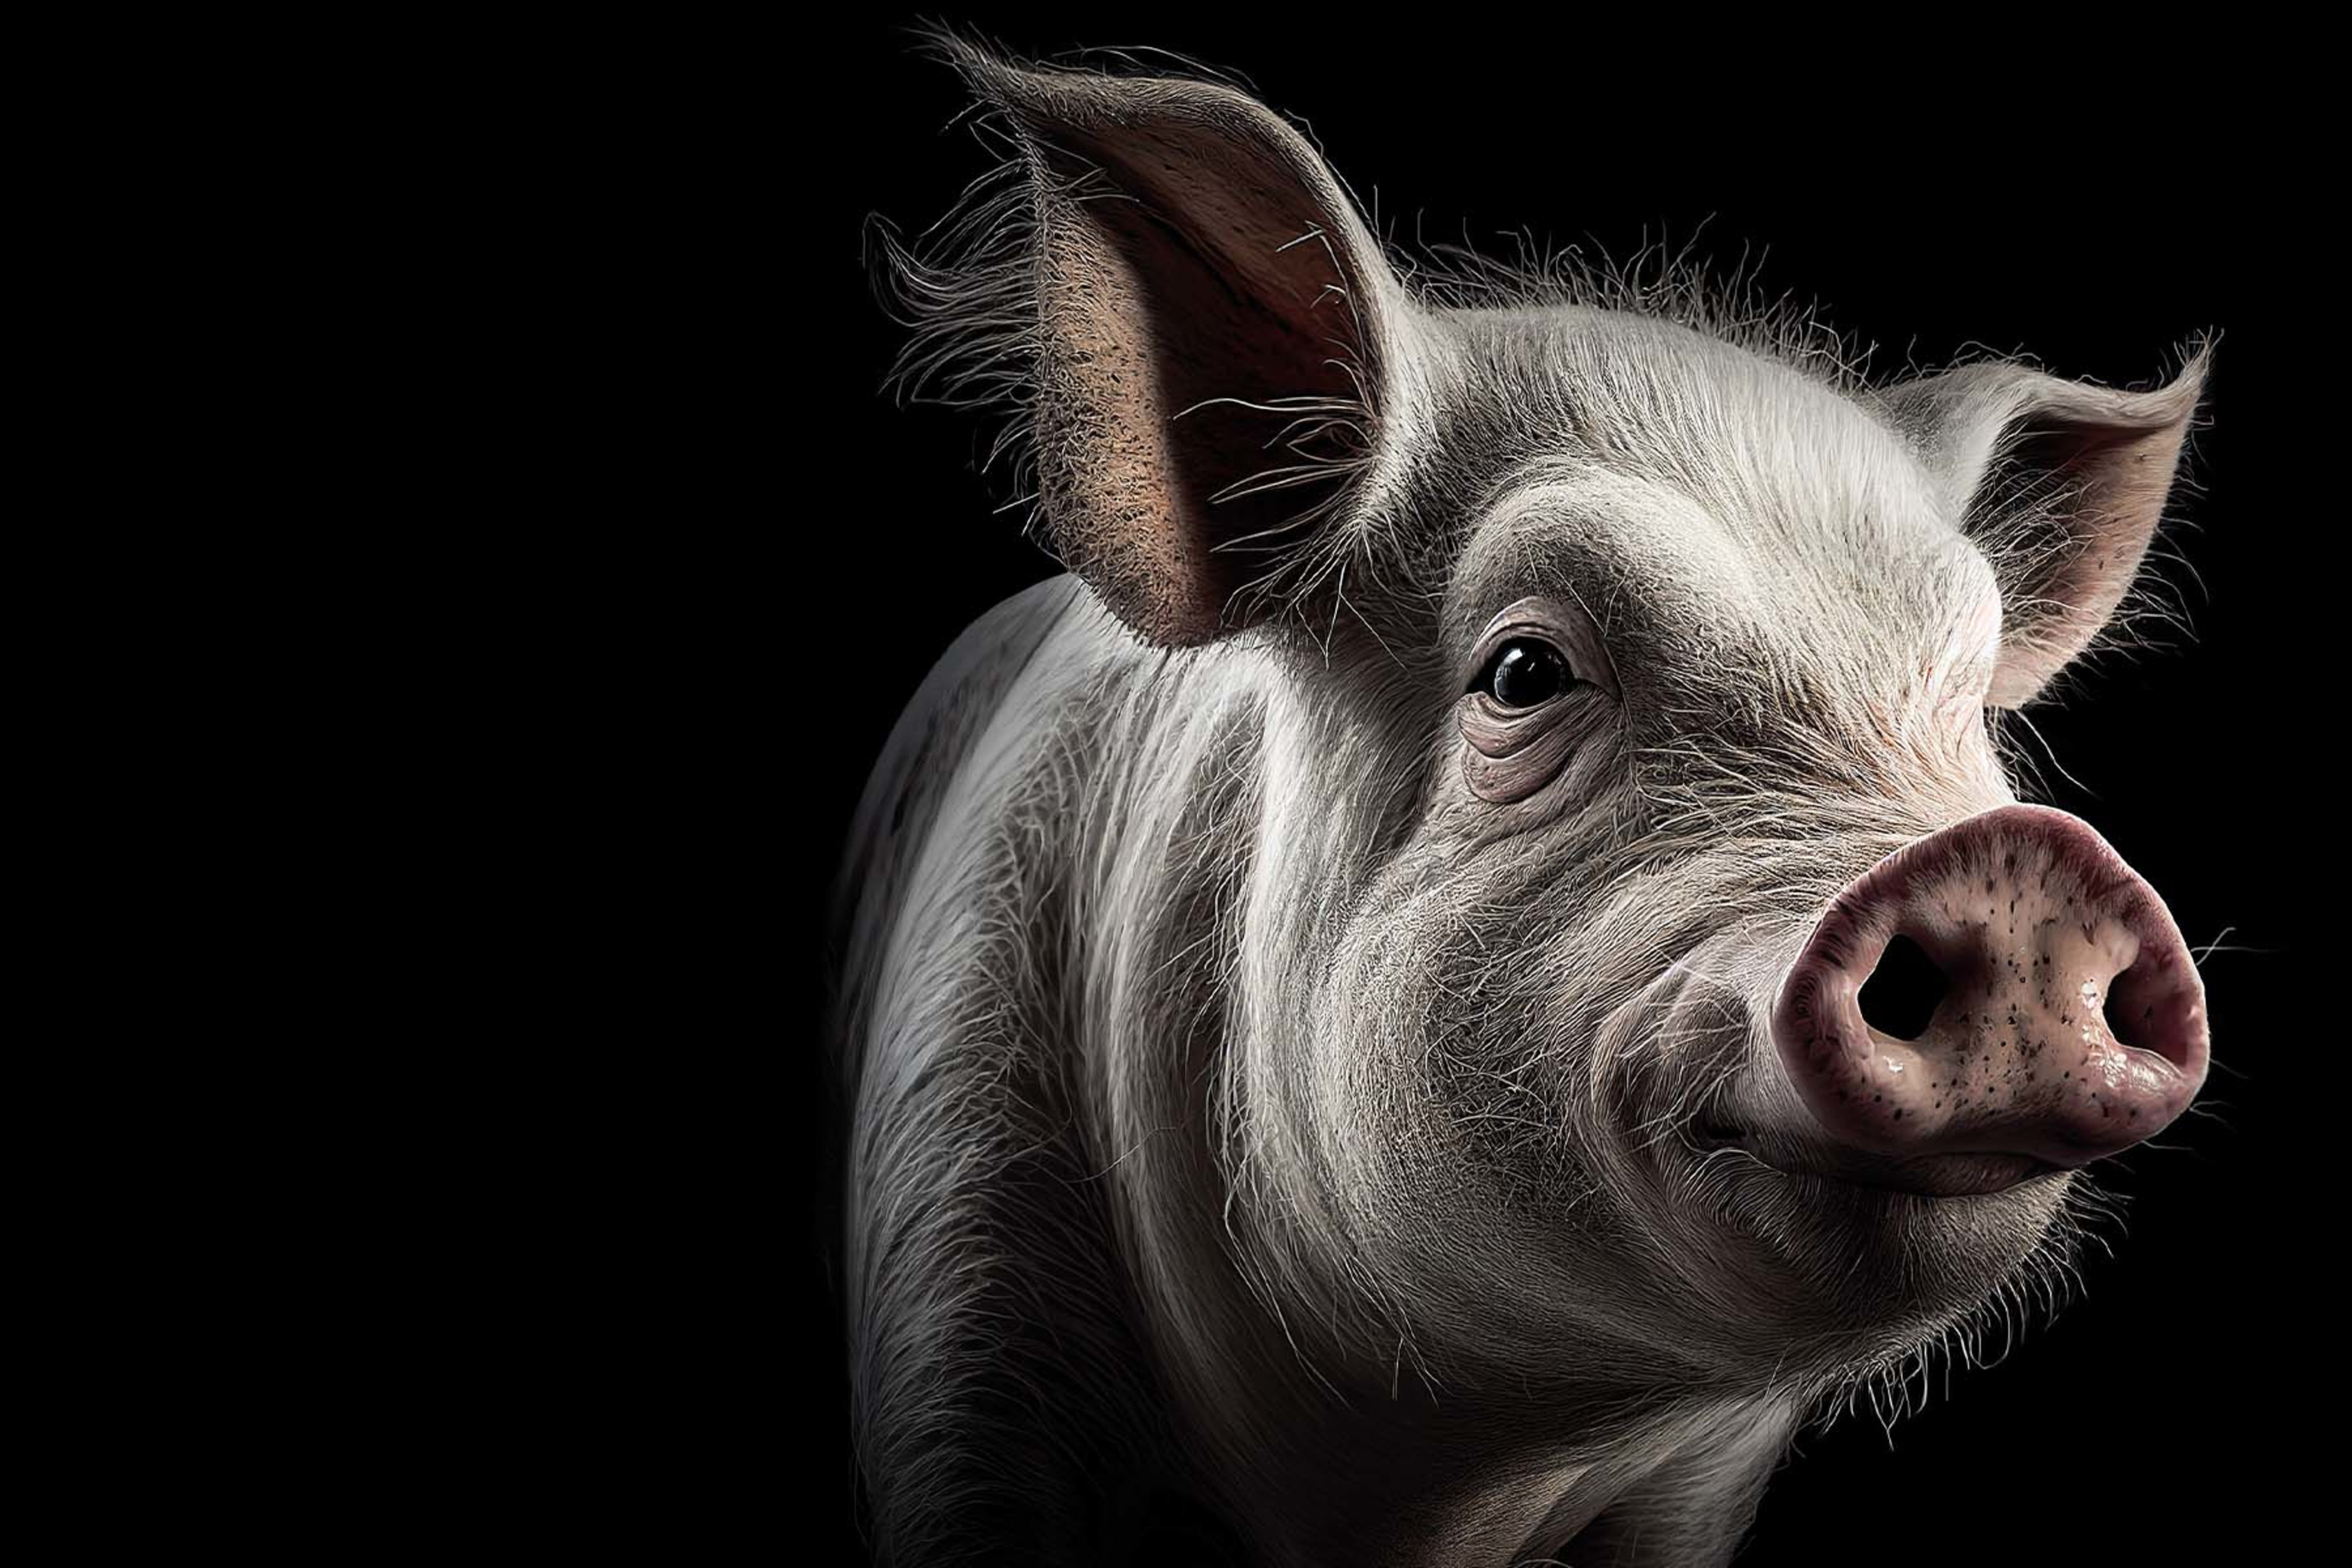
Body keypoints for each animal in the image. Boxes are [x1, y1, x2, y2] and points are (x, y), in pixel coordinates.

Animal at [830, 34, 2213, 1568]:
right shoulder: (960, 1259)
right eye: (1522, 671)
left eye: (1971, 707)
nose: (2015, 857)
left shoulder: (1693, 1483)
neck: (1420, 1480)